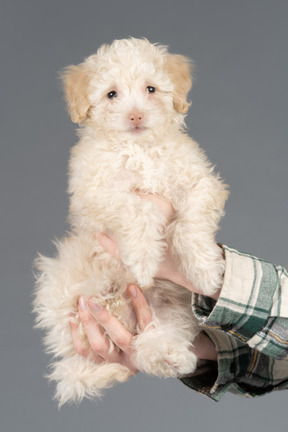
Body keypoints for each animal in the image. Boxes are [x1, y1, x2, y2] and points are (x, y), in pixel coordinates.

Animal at [33, 37, 228, 404]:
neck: (139, 149)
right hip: (62, 282)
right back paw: (109, 293)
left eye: (151, 89)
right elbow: (136, 208)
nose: (136, 114)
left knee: (149, 341)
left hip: (172, 310)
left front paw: (205, 270)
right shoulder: (96, 195)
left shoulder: (200, 183)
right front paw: (142, 258)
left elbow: (191, 223)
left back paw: (169, 355)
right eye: (112, 94)